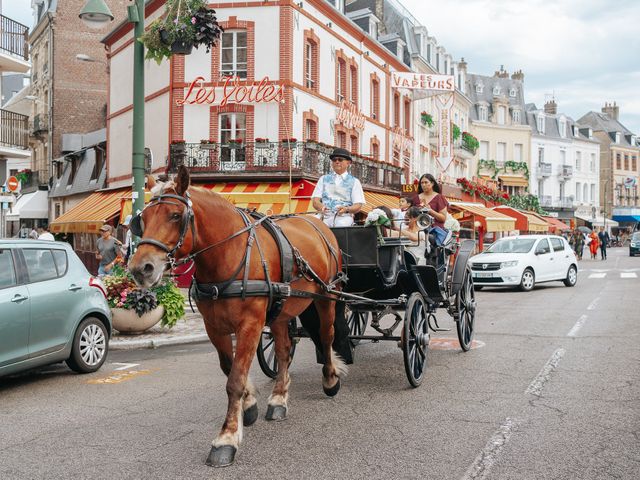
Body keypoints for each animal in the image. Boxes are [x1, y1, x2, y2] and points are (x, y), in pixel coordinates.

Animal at [129, 167, 344, 466]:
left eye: (175, 215)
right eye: (143, 219)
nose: (141, 269)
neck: (229, 254)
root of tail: (319, 224)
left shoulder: (250, 325)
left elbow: (234, 380)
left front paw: (226, 438)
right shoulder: (214, 327)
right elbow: (229, 369)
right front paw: (250, 406)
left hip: (327, 297)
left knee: (326, 337)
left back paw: (330, 379)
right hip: (281, 312)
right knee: (283, 349)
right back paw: (278, 399)